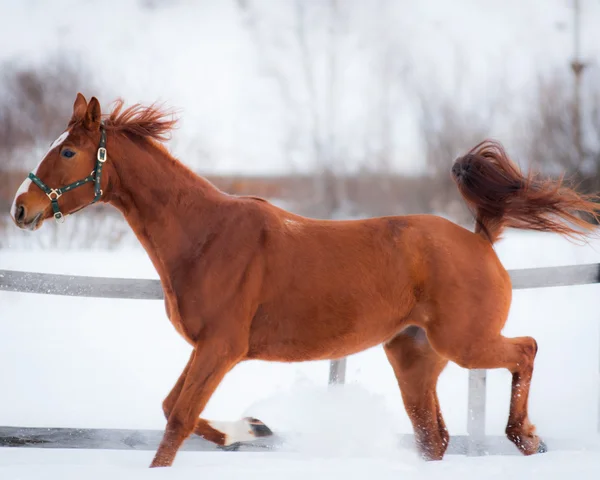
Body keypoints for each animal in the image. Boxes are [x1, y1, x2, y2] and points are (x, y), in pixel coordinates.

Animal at [10, 92, 600, 466]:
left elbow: (177, 419)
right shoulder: (207, 348)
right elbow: (174, 409)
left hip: (466, 341)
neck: (206, 236)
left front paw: (246, 430)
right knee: (433, 437)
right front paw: (253, 428)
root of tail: (480, 238)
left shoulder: (221, 348)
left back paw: (526, 439)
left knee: (525, 349)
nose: (20, 207)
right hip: (413, 356)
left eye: (68, 150)